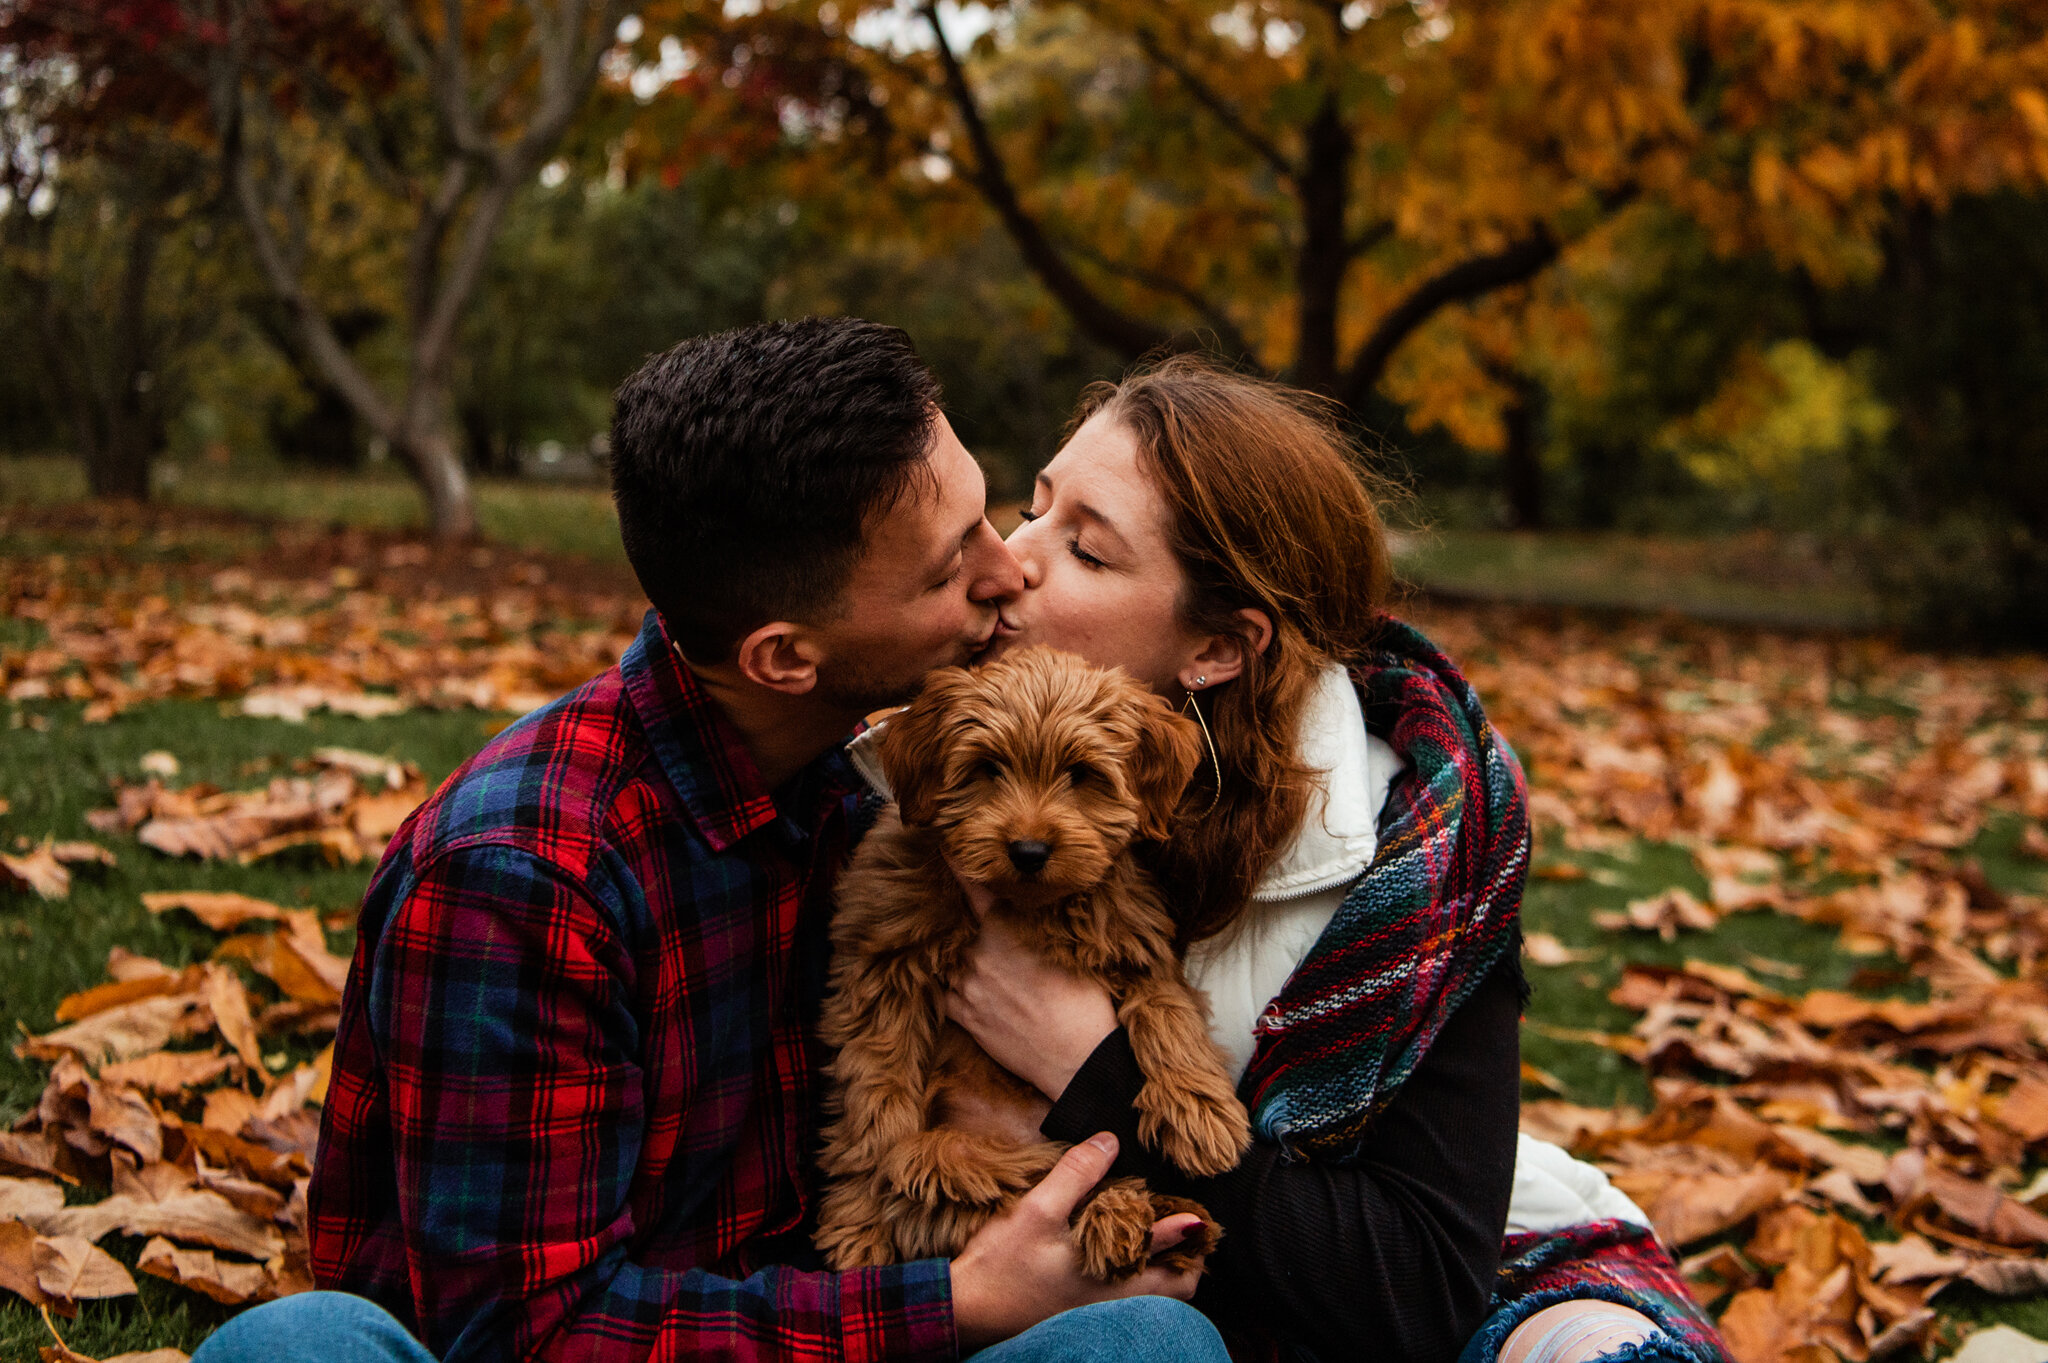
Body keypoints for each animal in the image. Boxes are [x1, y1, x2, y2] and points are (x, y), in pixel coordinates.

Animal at [815, 646, 1245, 1277]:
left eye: (1083, 775)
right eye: (988, 768)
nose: (1029, 851)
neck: (1031, 908)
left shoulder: (1135, 939)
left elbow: (1165, 1007)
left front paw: (1201, 1110)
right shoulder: (883, 968)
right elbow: (875, 1103)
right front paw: (858, 1223)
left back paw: (1147, 1219)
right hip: (961, 1156)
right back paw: (1125, 1215)